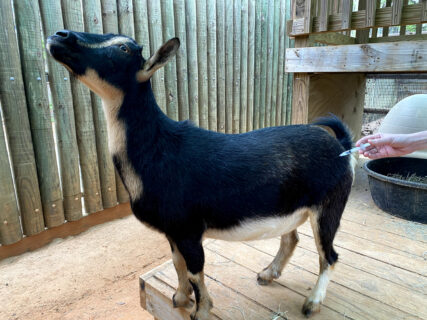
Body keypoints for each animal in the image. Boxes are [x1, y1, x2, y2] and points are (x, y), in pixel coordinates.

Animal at [46, 30, 356, 320]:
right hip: (290, 208)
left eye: (123, 48)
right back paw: (268, 274)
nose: (59, 35)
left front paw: (201, 310)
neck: (159, 148)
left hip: (329, 207)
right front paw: (179, 298)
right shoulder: (172, 232)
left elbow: (195, 271)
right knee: (291, 239)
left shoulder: (188, 229)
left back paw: (312, 302)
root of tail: (341, 145)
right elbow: (177, 264)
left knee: (329, 255)